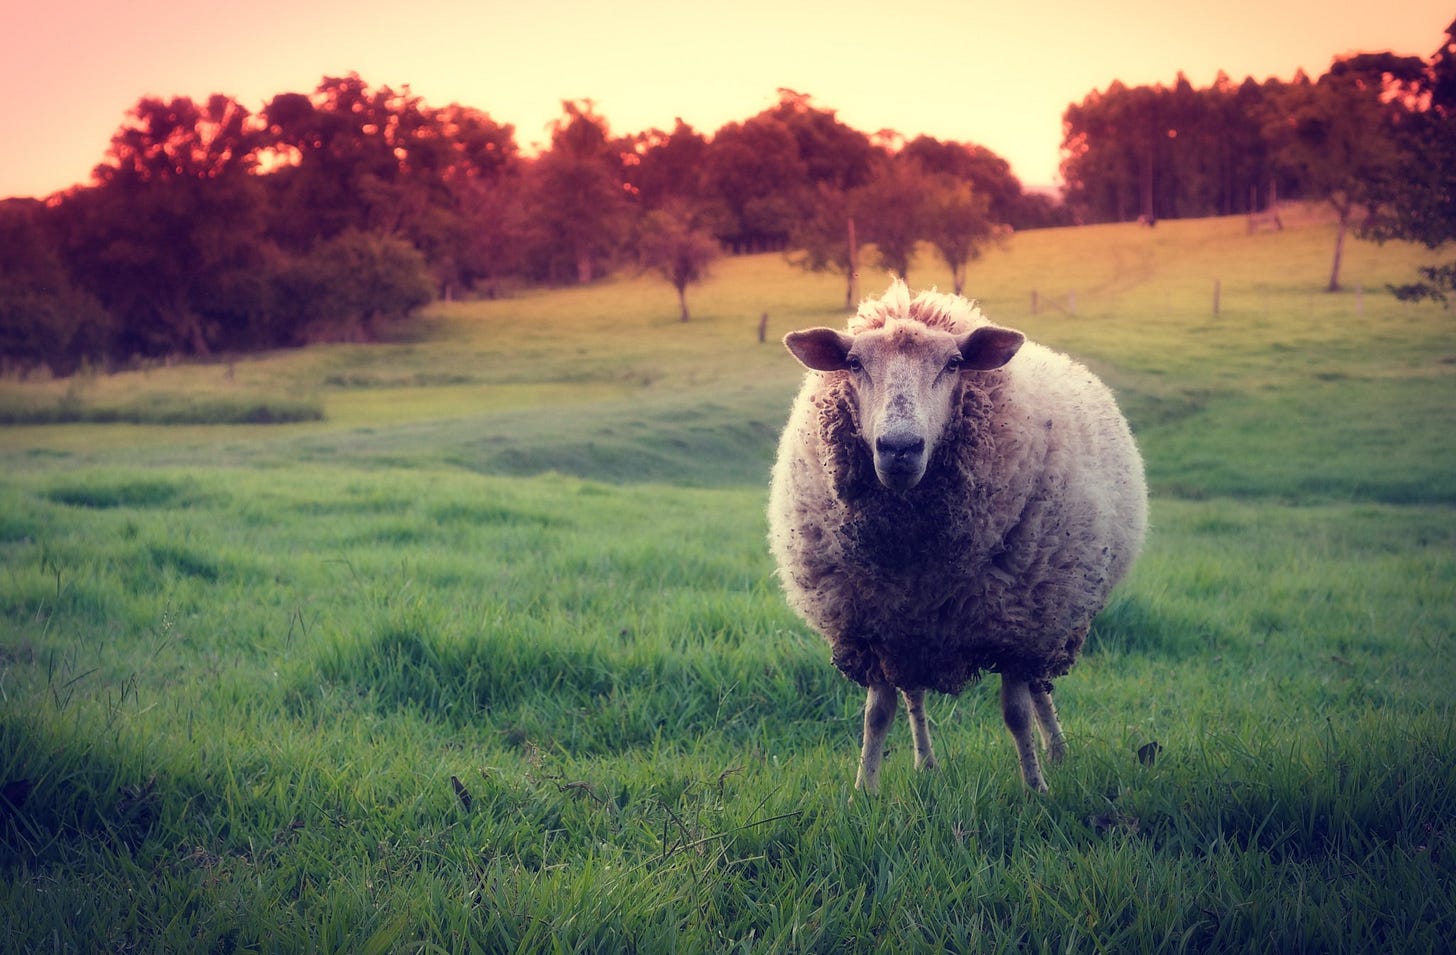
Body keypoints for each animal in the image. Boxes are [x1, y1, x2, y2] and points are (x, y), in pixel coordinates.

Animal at [767, 279, 1147, 794]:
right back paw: (926, 763)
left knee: (1039, 688)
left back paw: (1057, 752)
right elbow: (876, 715)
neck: (918, 554)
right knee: (914, 696)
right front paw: (863, 791)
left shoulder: (1016, 627)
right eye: (854, 363)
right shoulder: (874, 626)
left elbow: (1016, 714)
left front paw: (1036, 789)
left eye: (952, 363)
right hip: (914, 635)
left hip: (1050, 615)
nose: (900, 448)